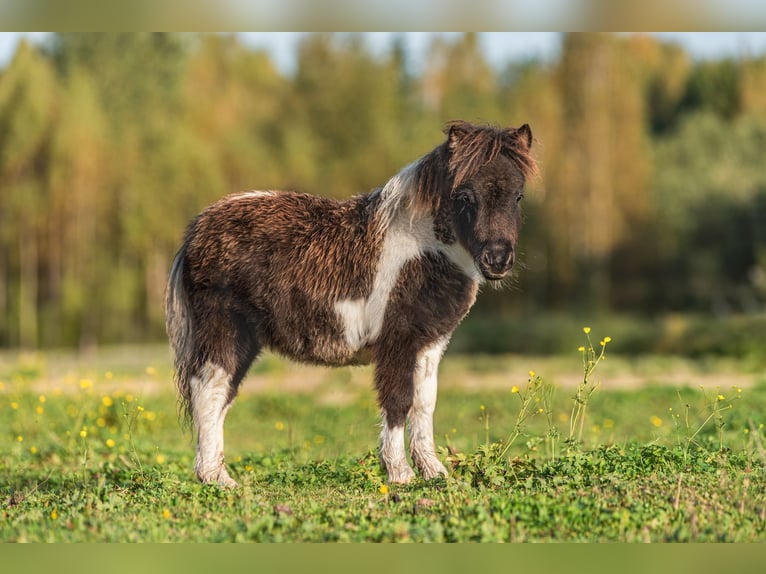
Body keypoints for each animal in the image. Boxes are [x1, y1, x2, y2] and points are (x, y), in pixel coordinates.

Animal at [165, 121, 536, 490]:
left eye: (518, 196)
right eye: (464, 196)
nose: (497, 260)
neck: (422, 249)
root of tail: (196, 232)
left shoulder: (431, 344)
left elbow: (424, 403)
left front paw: (433, 472)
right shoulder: (397, 342)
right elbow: (397, 401)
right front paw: (400, 474)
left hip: (244, 343)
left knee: (221, 397)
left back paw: (219, 475)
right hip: (224, 335)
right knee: (209, 393)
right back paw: (215, 478)